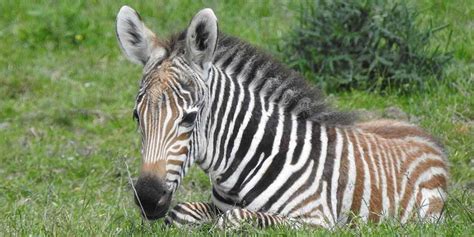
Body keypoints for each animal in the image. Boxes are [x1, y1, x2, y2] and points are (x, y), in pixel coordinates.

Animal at [115, 6, 448, 229]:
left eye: (189, 118)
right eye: (137, 117)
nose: (147, 199)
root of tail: (429, 137)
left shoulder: (316, 220)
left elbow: (233, 220)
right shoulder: (212, 206)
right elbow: (181, 212)